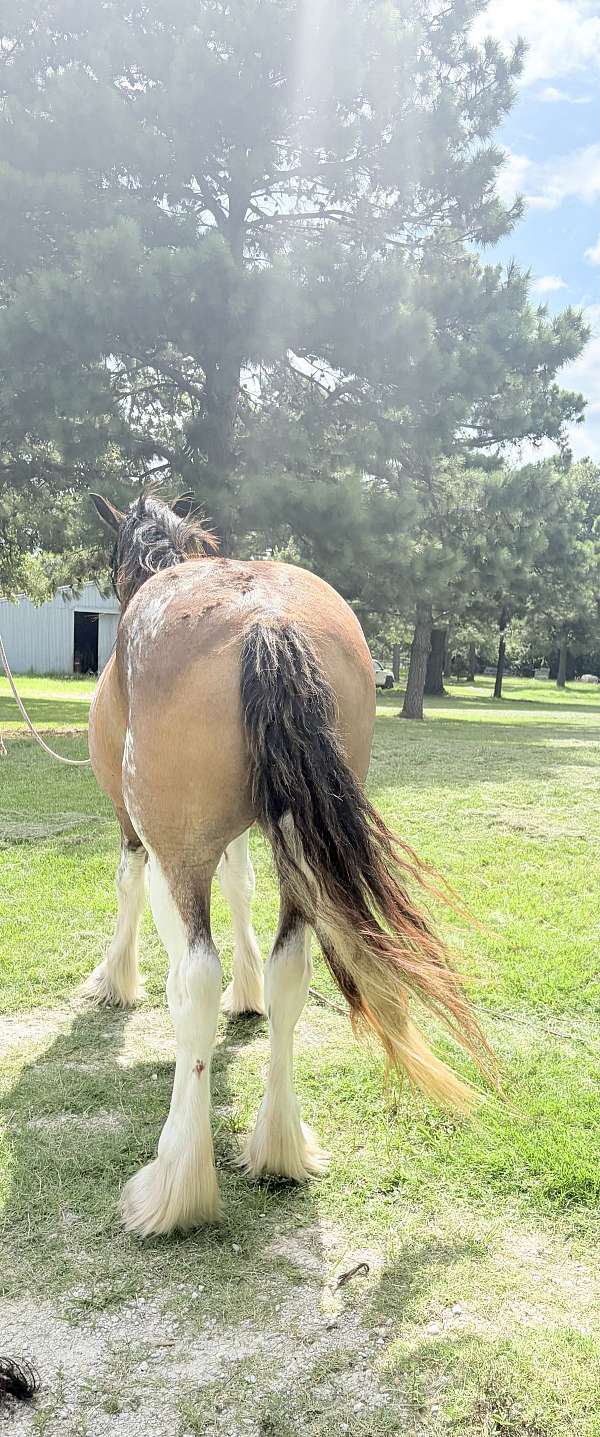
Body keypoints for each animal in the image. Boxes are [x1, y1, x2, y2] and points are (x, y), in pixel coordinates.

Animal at [86, 491, 491, 1236]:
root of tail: (265, 619)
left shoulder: (136, 829)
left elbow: (130, 891)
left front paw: (114, 981)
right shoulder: (248, 831)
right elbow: (243, 888)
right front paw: (245, 994)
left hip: (180, 851)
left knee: (194, 978)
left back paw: (177, 1185)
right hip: (301, 849)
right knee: (291, 970)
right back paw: (279, 1146)